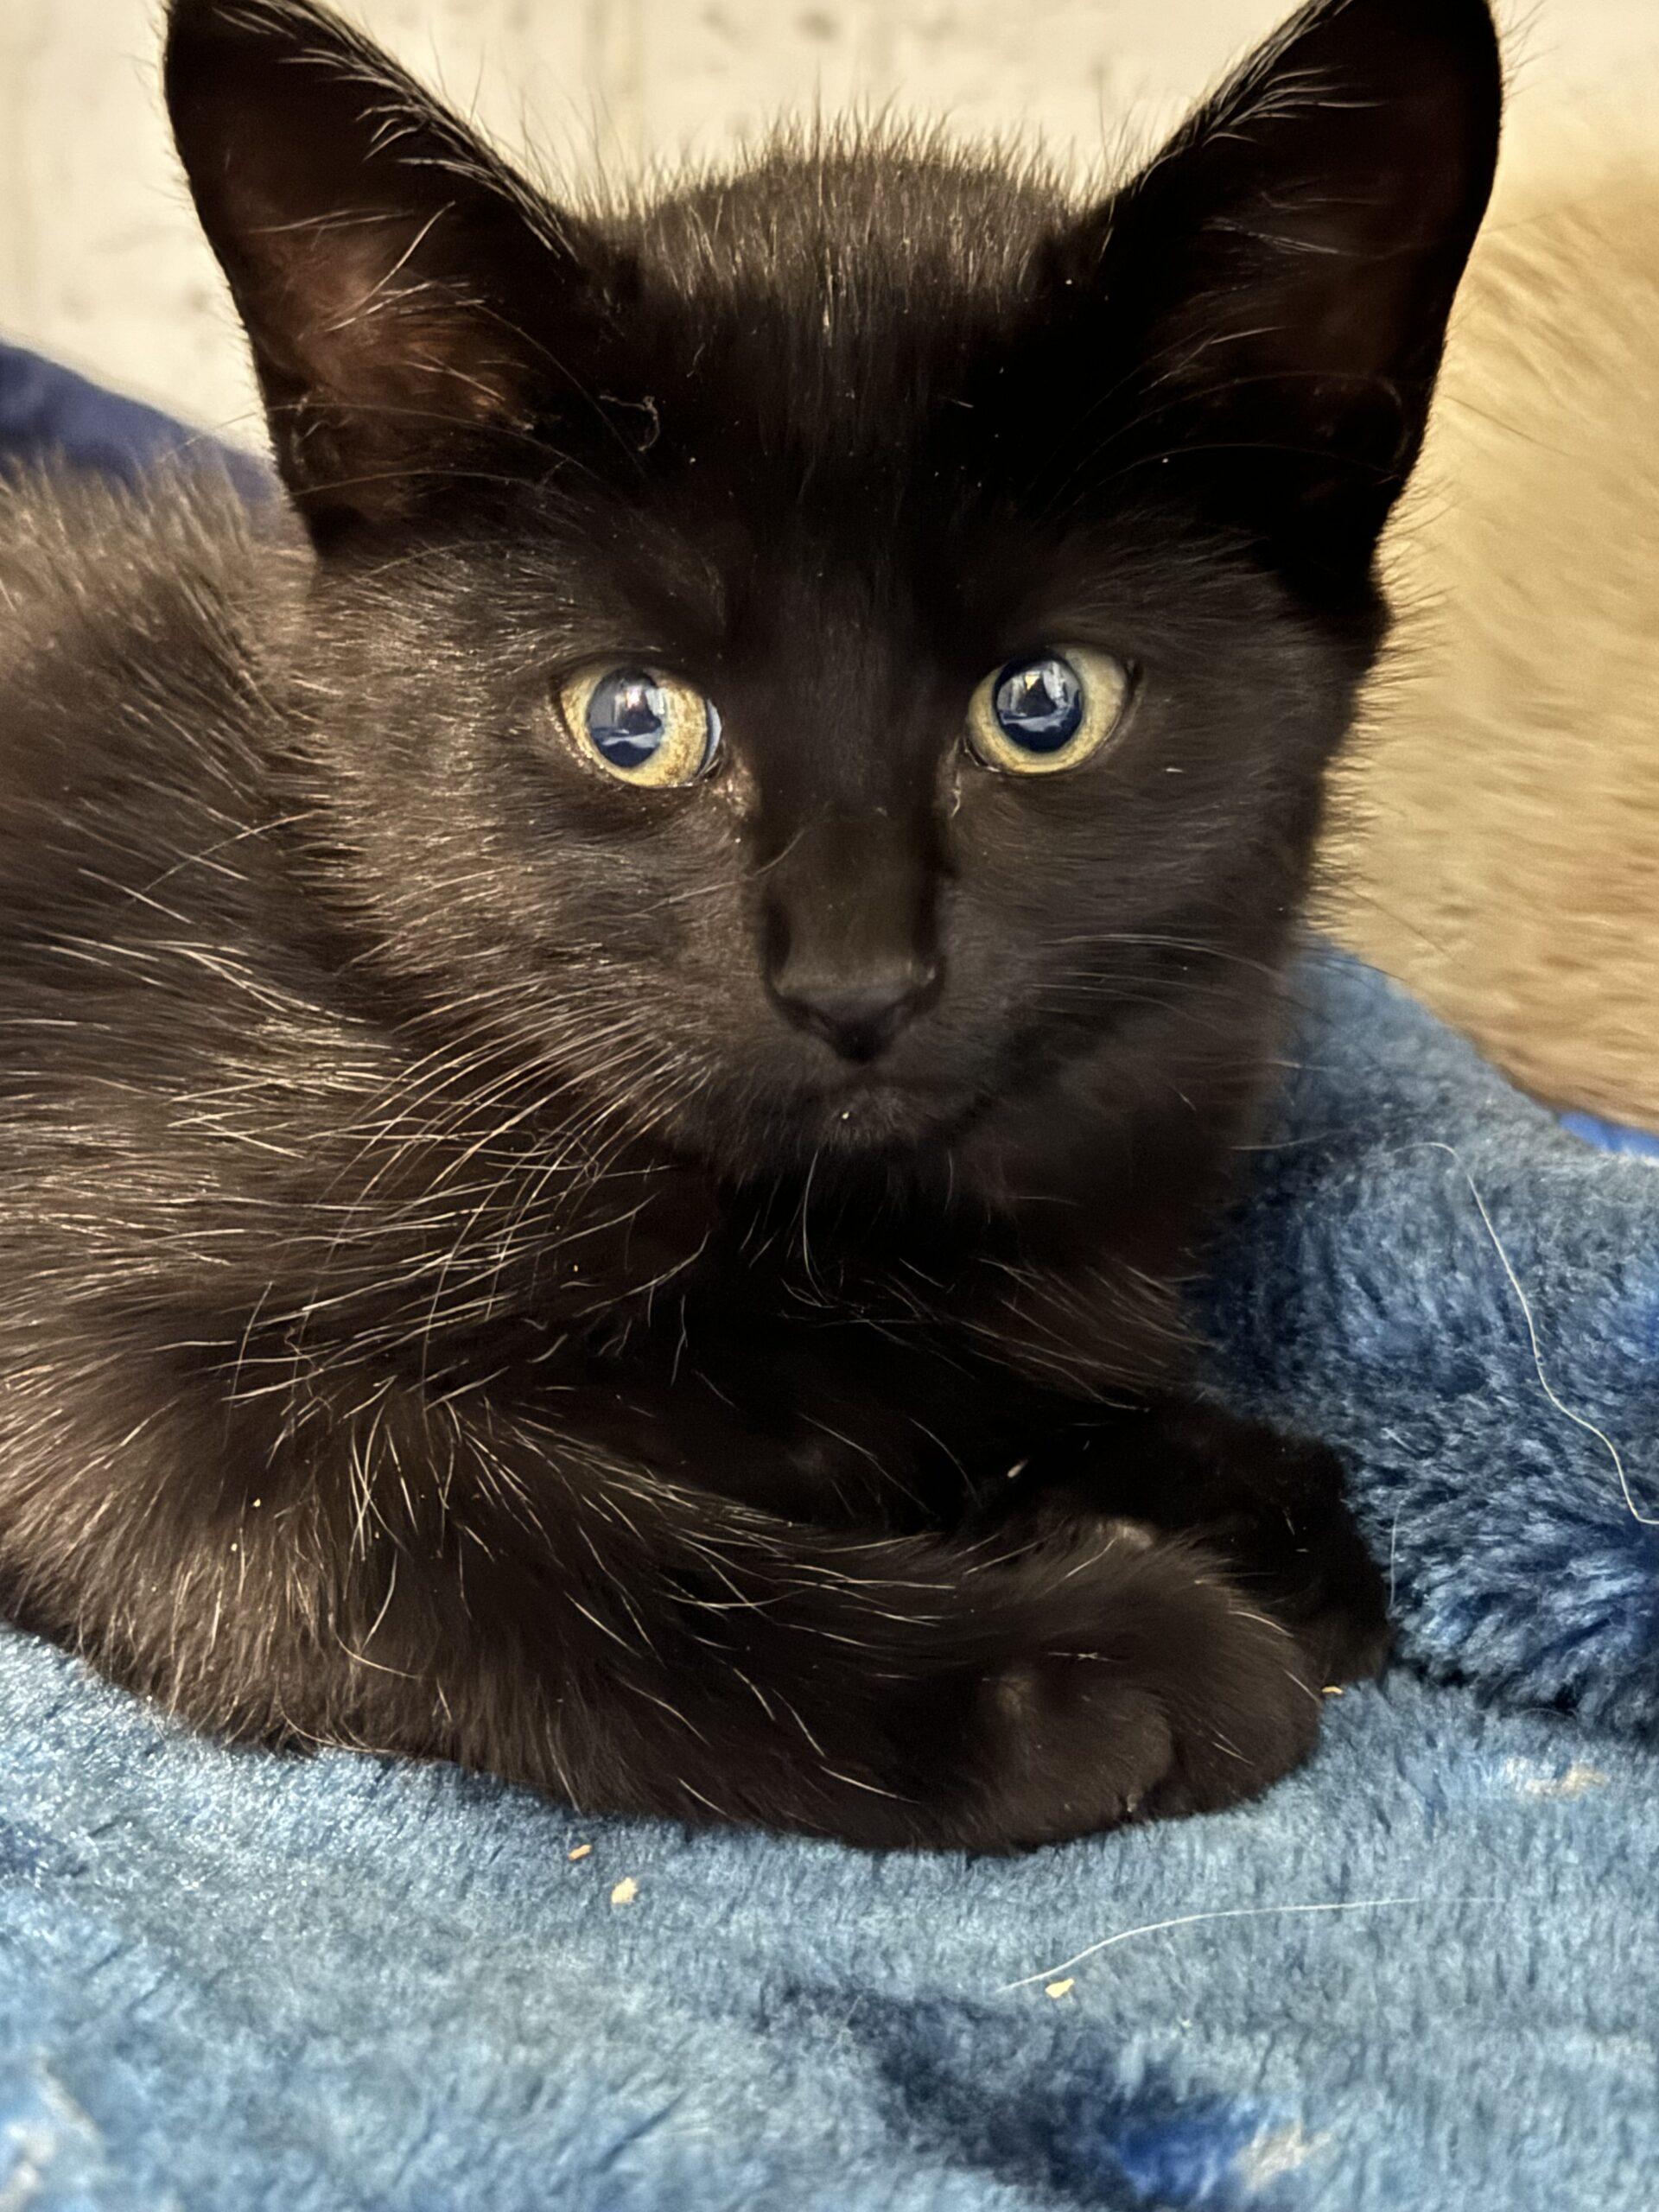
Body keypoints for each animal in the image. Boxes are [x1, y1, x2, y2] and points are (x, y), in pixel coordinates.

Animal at [0, 0, 1503, 1849]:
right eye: (631, 721)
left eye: (1046, 705)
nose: (855, 980)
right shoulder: (102, 1356)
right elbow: (453, 1536)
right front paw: (1090, 1656)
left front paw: (1223, 1485)